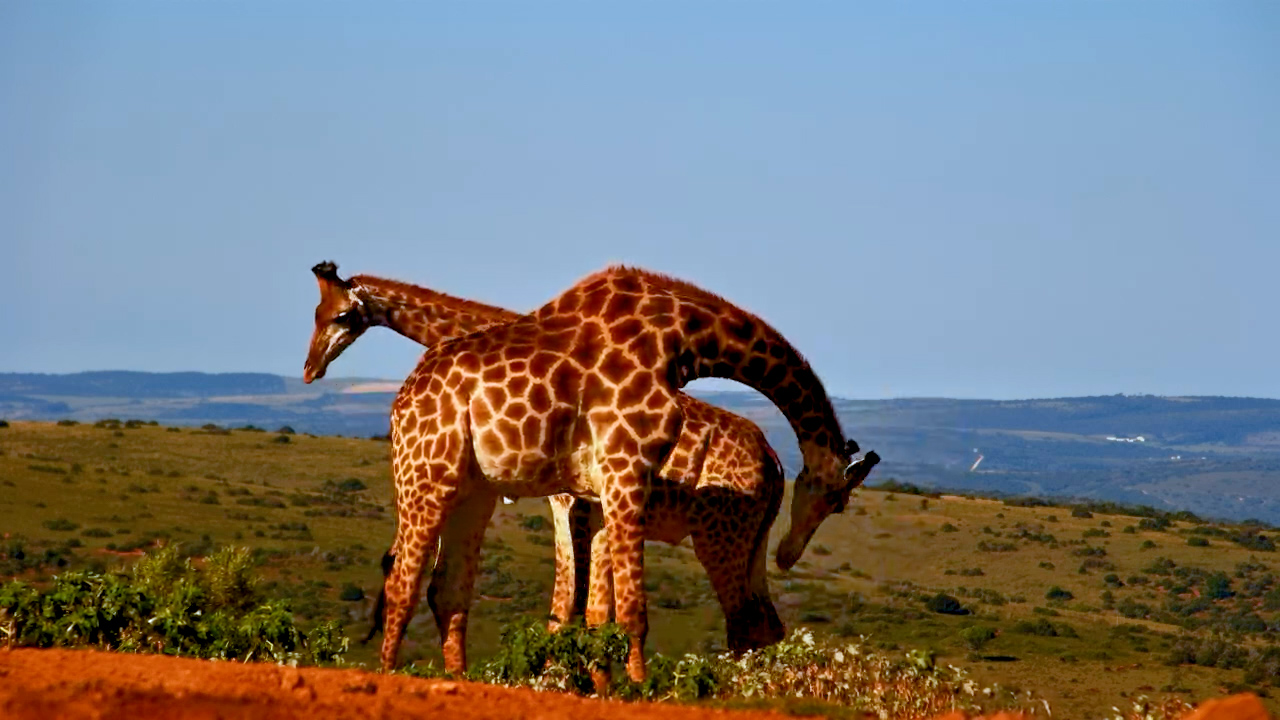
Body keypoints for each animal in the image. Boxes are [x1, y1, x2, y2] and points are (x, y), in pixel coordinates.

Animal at [301, 262, 791, 653]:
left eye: (341, 315)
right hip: (751, 542)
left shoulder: (570, 504)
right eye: (315, 314)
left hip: (719, 537)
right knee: (768, 624)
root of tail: (774, 461)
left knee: (744, 623)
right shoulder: (578, 506)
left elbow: (570, 608)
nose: (310, 369)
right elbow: (580, 609)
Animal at [367, 264, 874, 681]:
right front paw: (629, 687)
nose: (789, 554)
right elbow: (615, 609)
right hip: (429, 475)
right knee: (405, 582)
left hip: (473, 491)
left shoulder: (602, 490)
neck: (682, 340)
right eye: (837, 500)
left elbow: (595, 611)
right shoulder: (613, 477)